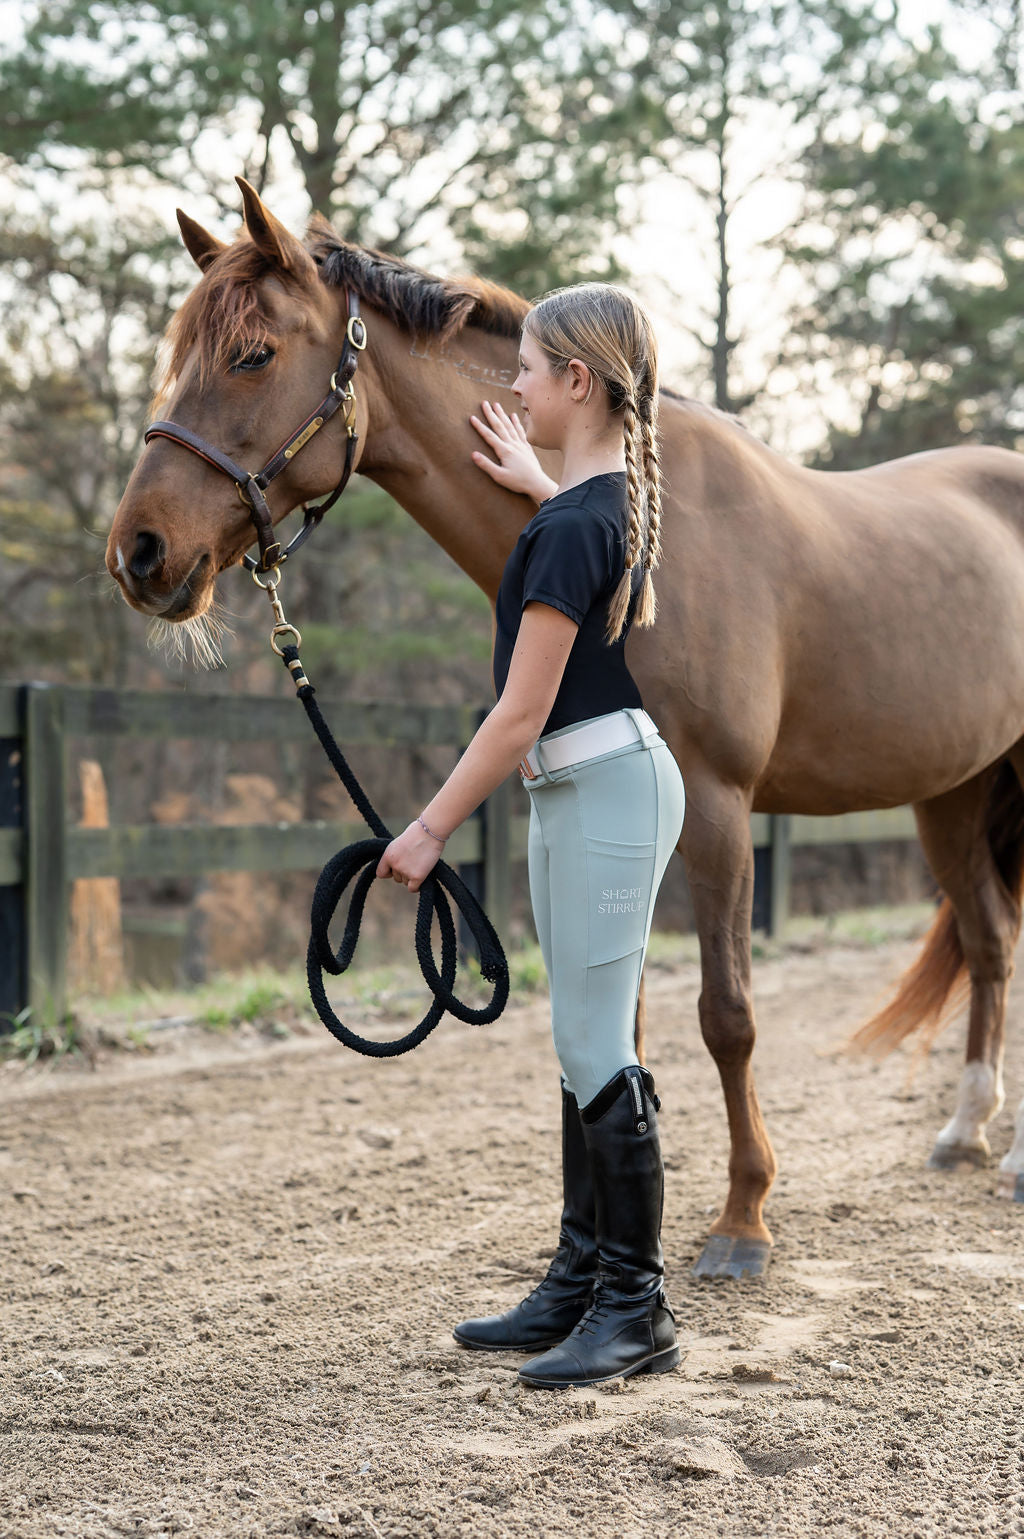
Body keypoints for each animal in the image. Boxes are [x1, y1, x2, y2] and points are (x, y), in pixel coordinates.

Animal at [106, 177, 1024, 1278]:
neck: (643, 542)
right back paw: (965, 1130)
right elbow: (618, 1027)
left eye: (252, 354)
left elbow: (727, 1015)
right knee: (990, 944)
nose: (139, 553)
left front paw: (742, 1220)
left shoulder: (718, 810)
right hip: (953, 792)